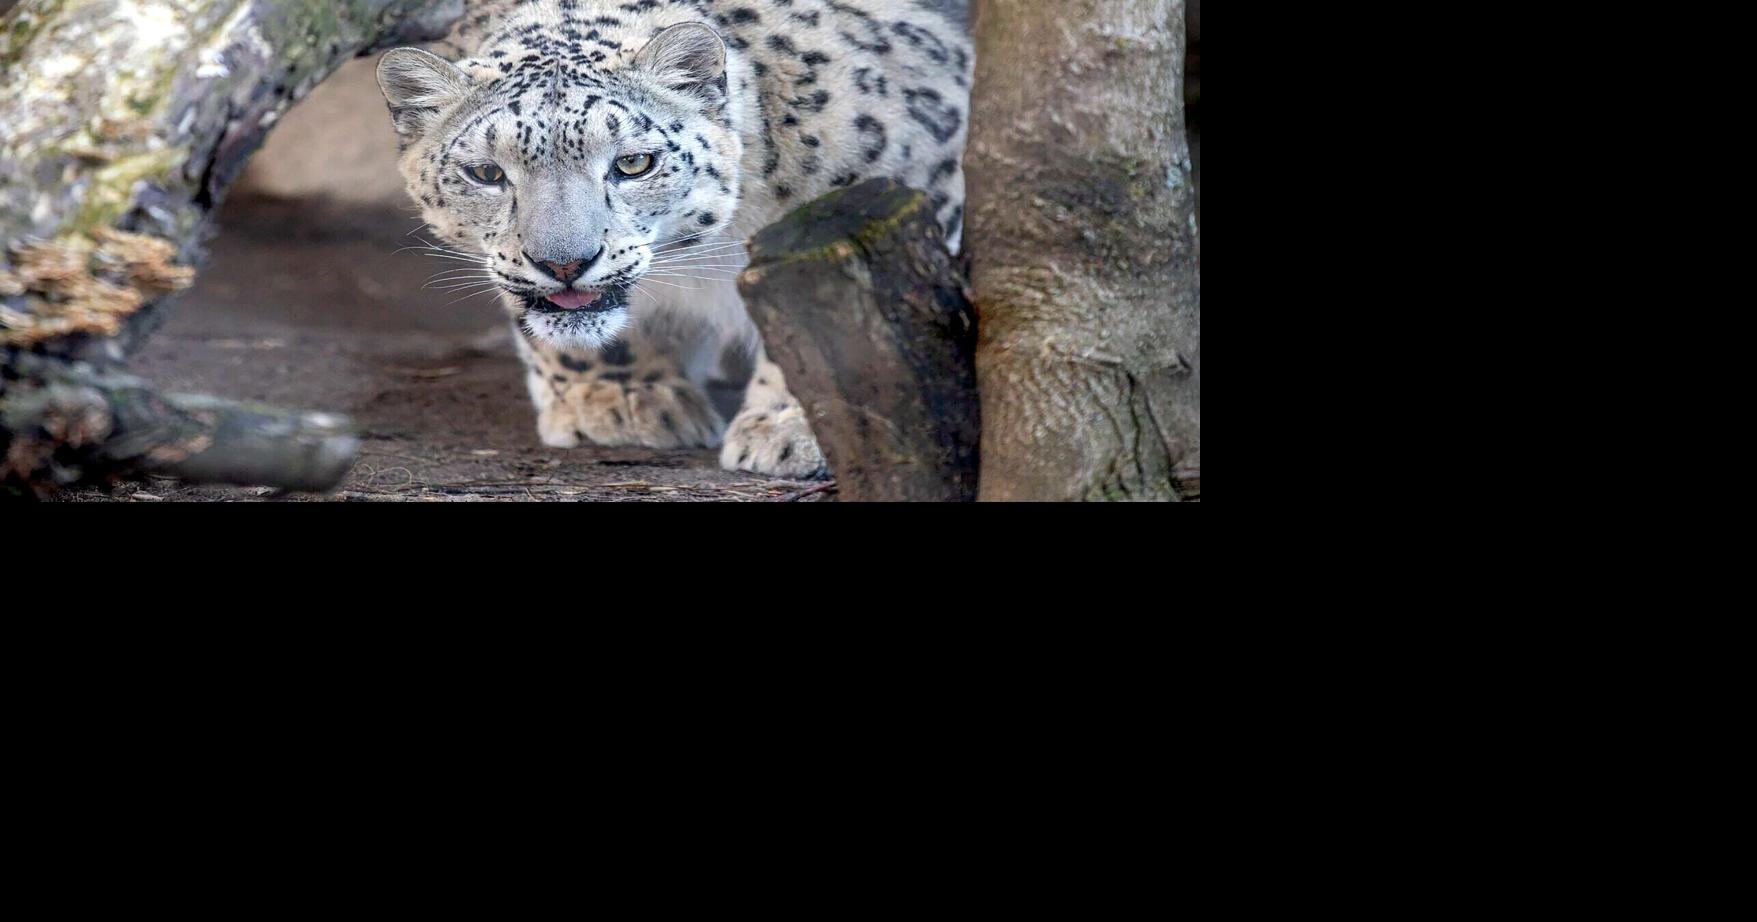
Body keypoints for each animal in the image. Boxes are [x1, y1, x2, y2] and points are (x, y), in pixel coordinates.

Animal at [376, 0, 972, 478]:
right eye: (486, 174)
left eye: (634, 163)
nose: (564, 264)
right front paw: (617, 398)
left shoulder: (921, 177)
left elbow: (837, 325)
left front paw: (794, 426)